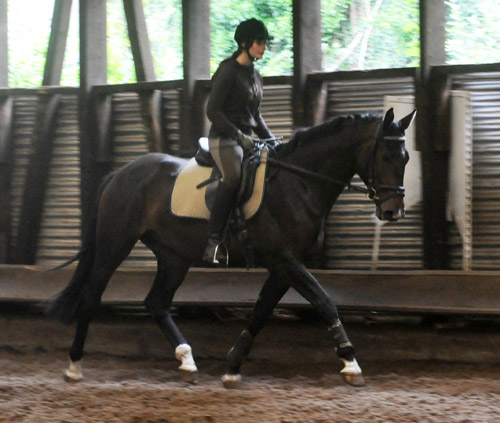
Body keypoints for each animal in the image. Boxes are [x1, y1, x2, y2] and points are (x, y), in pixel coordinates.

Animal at [47, 108, 416, 388]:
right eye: (386, 155)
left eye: (407, 158)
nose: (393, 212)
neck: (299, 182)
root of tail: (120, 174)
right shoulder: (286, 260)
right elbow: (325, 302)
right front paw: (351, 363)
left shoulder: (283, 266)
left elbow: (261, 312)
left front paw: (233, 367)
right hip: (115, 244)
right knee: (91, 296)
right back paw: (74, 366)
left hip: (174, 256)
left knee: (156, 302)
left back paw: (187, 361)